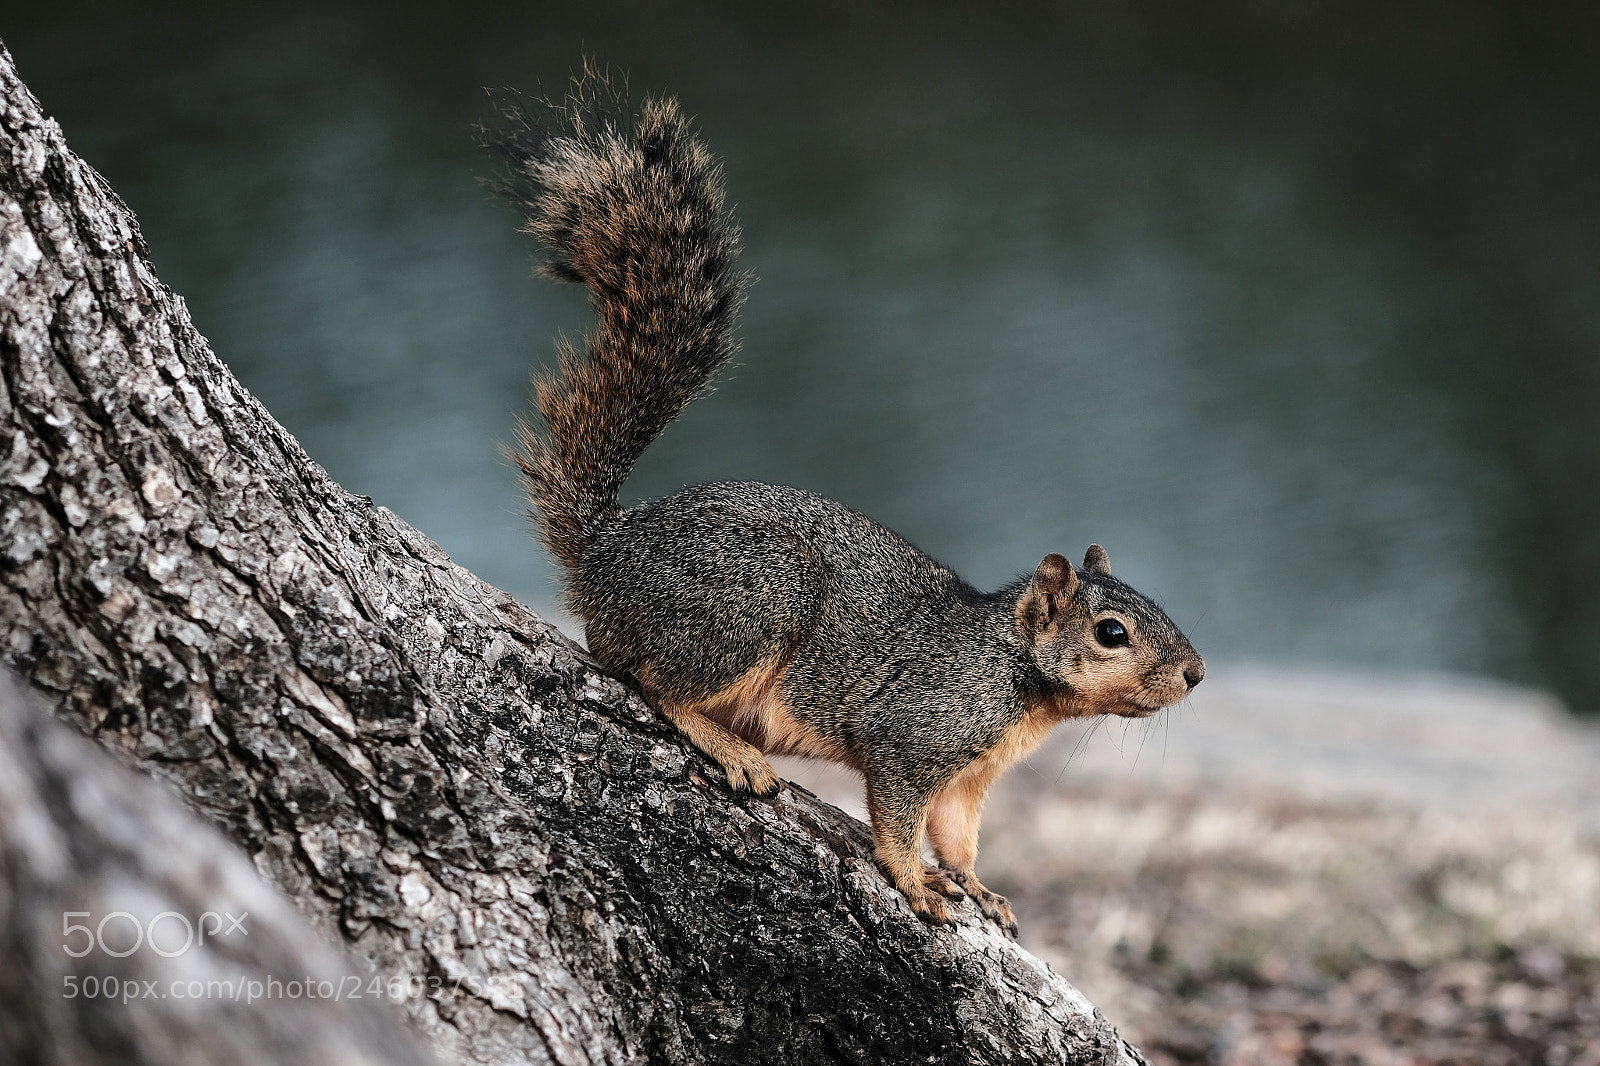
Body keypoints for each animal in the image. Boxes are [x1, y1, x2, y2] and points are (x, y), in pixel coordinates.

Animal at [487, 70, 1205, 933]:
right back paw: (731, 749)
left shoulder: (968, 780)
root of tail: (607, 550)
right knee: (646, 674)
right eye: (1111, 632)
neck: (1013, 677)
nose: (1197, 674)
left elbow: (958, 835)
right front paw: (915, 881)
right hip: (751, 598)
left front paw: (979, 886)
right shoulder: (911, 734)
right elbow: (897, 817)